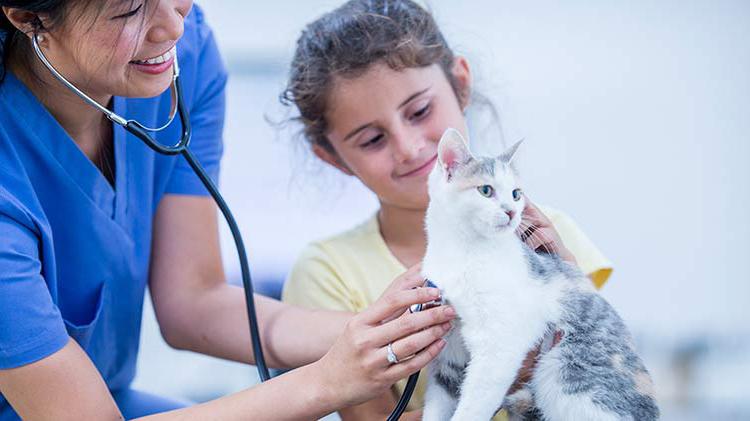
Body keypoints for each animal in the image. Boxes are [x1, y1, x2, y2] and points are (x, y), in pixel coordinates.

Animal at [420, 129, 660, 420]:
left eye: (516, 193)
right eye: (486, 190)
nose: (511, 211)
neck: (463, 251)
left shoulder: (499, 345)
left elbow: (472, 407)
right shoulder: (449, 356)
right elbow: (437, 406)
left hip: (566, 375)